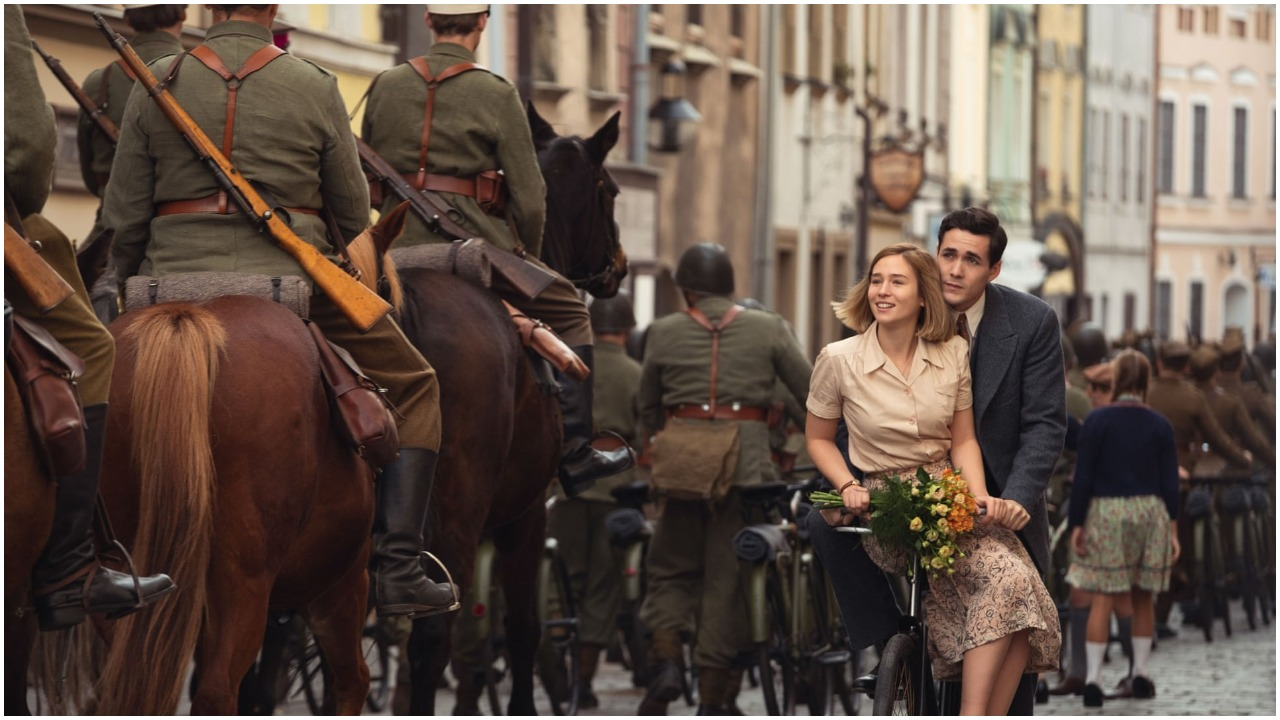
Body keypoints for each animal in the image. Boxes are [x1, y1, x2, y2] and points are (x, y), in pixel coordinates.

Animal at [78, 292, 373, 712]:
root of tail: (186, 320)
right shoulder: (343, 581)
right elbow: (351, 680)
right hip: (249, 581)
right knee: (219, 690)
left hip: (124, 576)